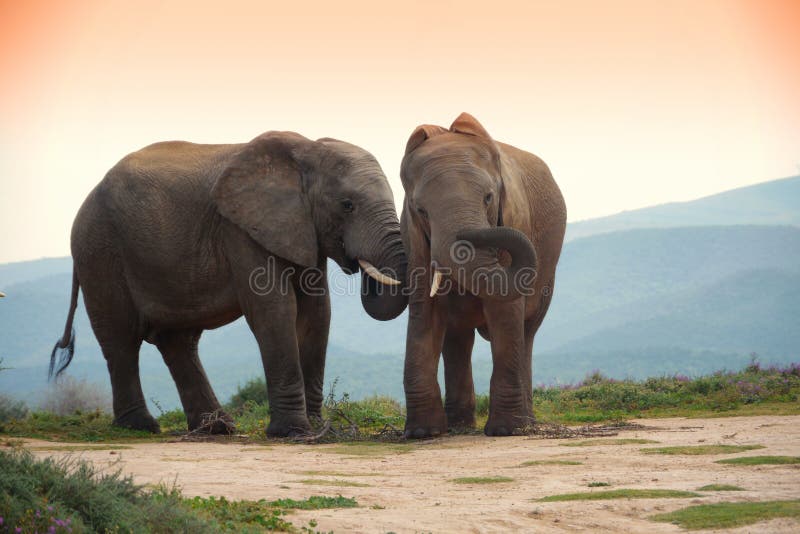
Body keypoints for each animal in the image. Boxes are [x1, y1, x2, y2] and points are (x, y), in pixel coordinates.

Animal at [49, 131, 408, 437]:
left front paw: (319, 429)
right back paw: (141, 427)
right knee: (121, 339)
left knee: (177, 341)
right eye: (347, 205)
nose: (360, 265)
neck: (308, 150)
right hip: (99, 251)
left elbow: (317, 313)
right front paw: (294, 432)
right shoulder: (241, 229)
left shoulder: (303, 231)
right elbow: (274, 309)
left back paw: (216, 428)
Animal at [399, 112, 566, 438]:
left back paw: (525, 424)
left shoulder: (516, 218)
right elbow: (425, 312)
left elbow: (505, 311)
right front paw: (422, 433)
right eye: (420, 210)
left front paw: (506, 430)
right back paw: (458, 425)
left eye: (489, 198)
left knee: (527, 332)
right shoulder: (415, 242)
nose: (470, 233)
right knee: (458, 338)